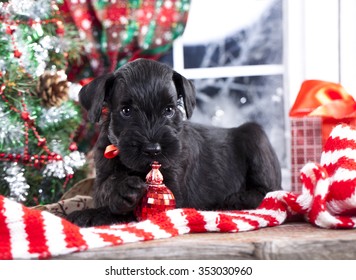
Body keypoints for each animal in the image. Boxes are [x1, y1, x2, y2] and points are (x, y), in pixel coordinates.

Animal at [68, 58, 282, 226]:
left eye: (169, 110)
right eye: (126, 111)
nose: (153, 149)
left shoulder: (173, 192)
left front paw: (87, 214)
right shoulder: (101, 176)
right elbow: (105, 189)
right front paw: (120, 190)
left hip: (254, 135)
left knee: (269, 191)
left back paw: (236, 198)